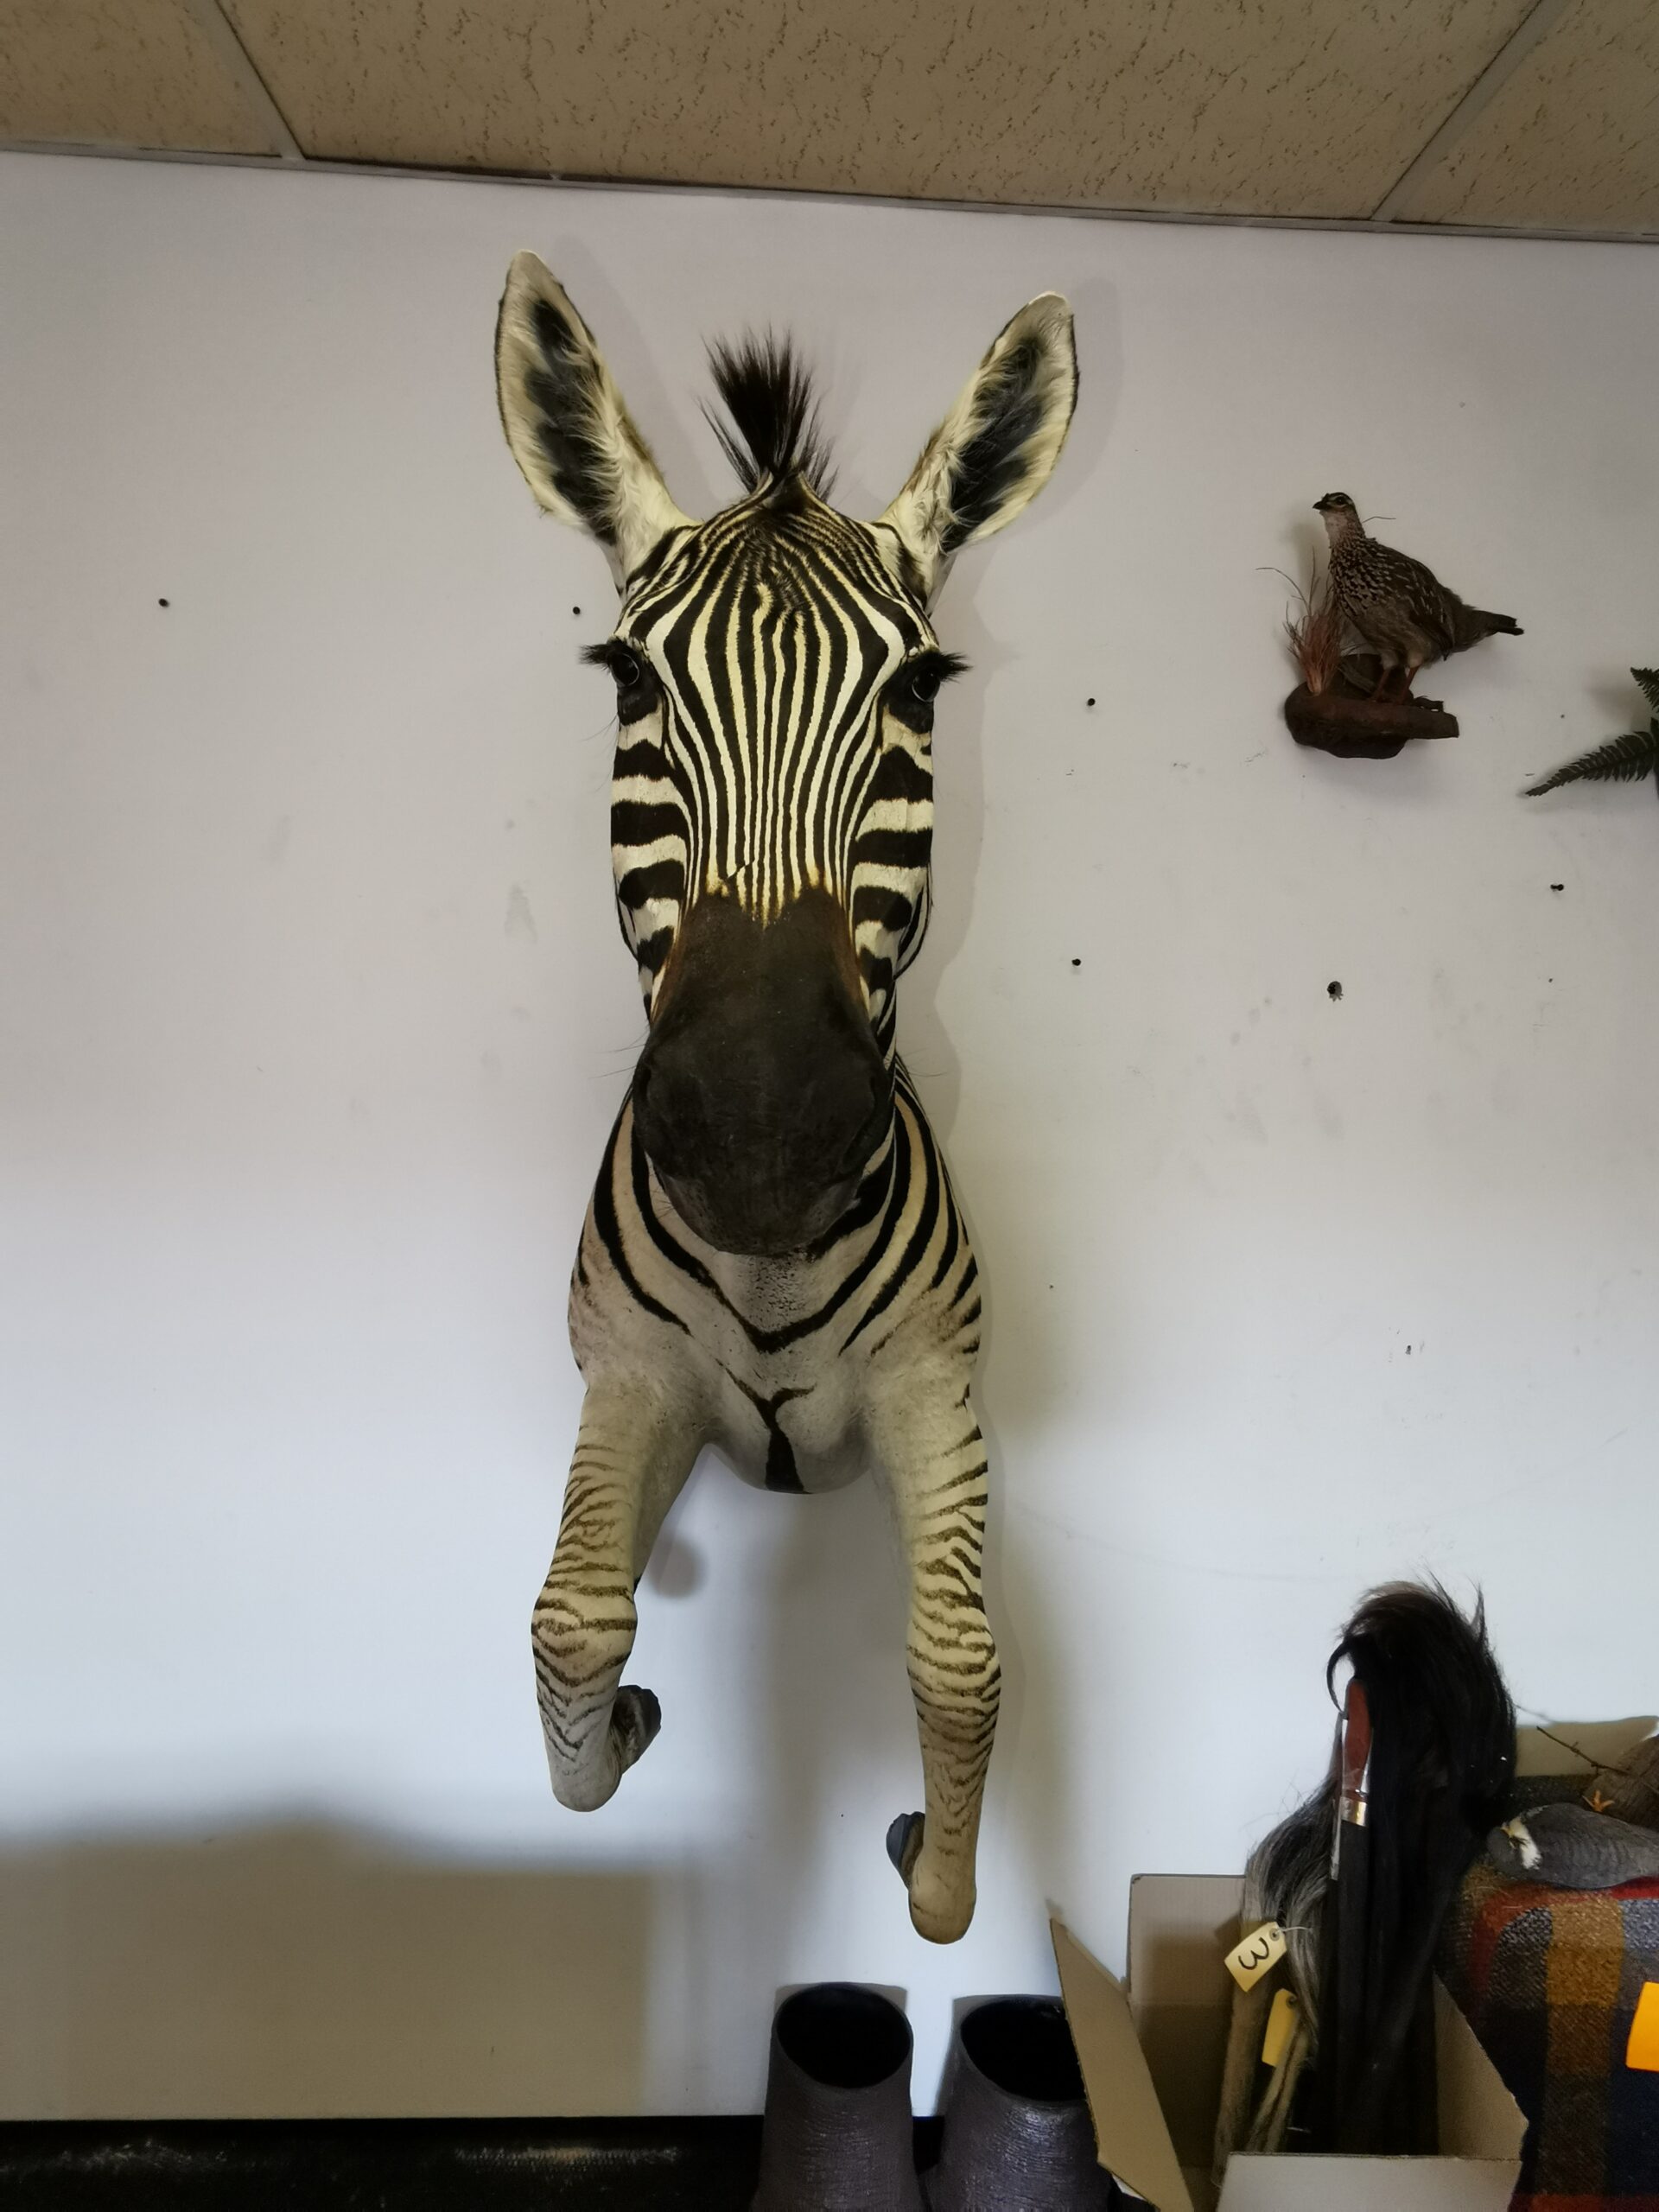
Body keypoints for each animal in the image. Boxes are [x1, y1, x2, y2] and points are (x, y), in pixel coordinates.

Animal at [494, 254, 1077, 1943]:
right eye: (627, 676)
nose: (761, 1135)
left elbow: (962, 1660)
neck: (766, 1276)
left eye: (924, 686)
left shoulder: (937, 1386)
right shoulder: (629, 1374)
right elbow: (574, 1619)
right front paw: (627, 1730)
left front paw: (928, 1869)